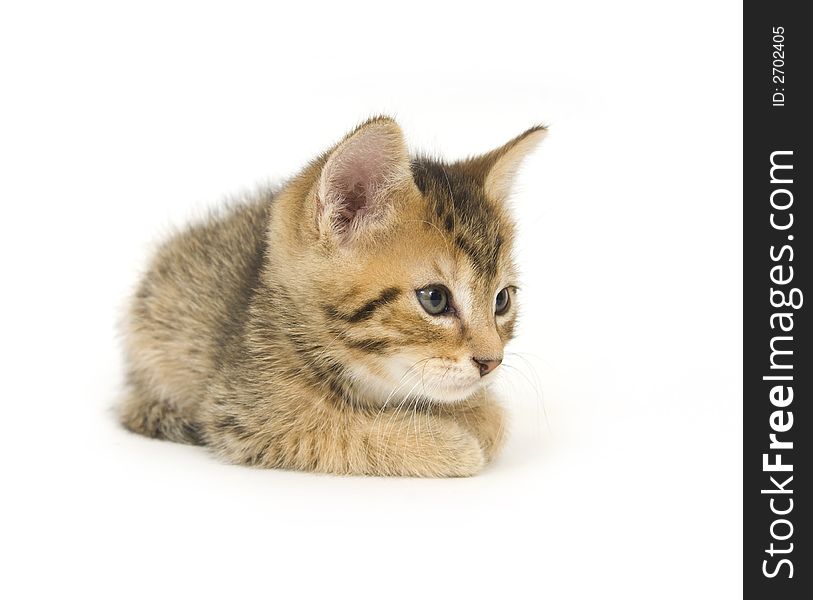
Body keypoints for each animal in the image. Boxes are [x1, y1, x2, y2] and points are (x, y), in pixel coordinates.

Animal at [120, 115, 544, 476]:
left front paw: (475, 415)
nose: (491, 362)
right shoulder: (245, 414)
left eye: (502, 300)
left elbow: (493, 419)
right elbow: (336, 431)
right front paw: (447, 443)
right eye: (434, 299)